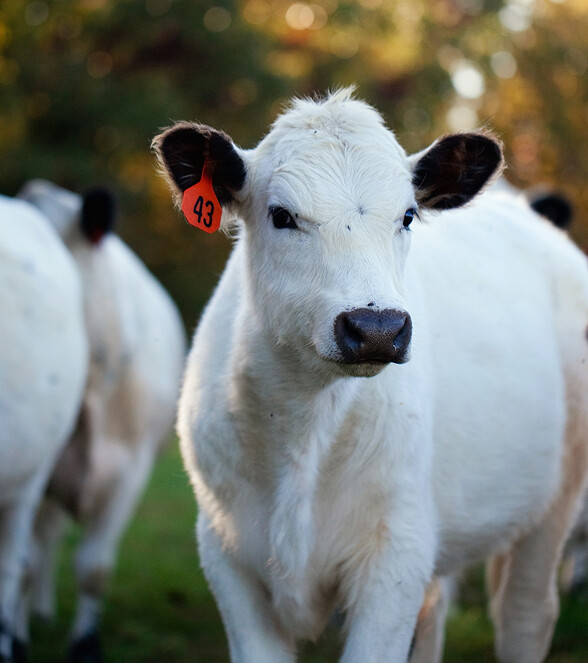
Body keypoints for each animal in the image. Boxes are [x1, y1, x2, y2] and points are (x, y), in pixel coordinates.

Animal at [16, 181, 186, 663]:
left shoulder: (131, 472)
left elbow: (94, 567)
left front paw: (85, 643)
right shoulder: (36, 468)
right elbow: (24, 562)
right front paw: (16, 637)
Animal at [153, 88, 588, 663]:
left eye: (407, 215)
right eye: (281, 215)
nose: (377, 327)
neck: (303, 428)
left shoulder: (395, 557)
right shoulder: (228, 556)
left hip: (554, 502)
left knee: (524, 616)